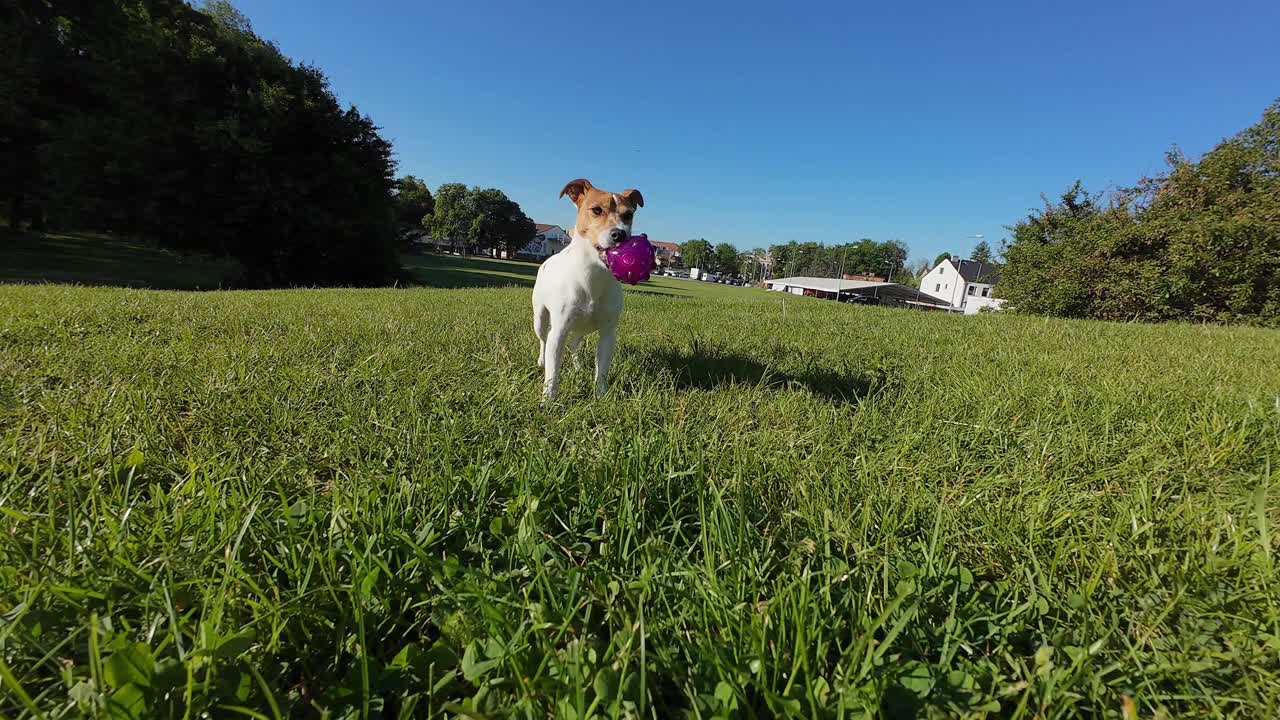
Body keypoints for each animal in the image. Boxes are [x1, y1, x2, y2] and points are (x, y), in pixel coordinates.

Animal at [532, 174, 645, 397]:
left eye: (628, 215)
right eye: (597, 210)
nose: (620, 234)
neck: (594, 274)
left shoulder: (608, 333)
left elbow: (602, 369)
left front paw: (601, 395)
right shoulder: (558, 331)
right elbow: (553, 373)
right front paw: (548, 399)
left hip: (581, 328)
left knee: (575, 344)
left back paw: (578, 367)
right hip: (540, 317)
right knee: (542, 340)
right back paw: (541, 361)